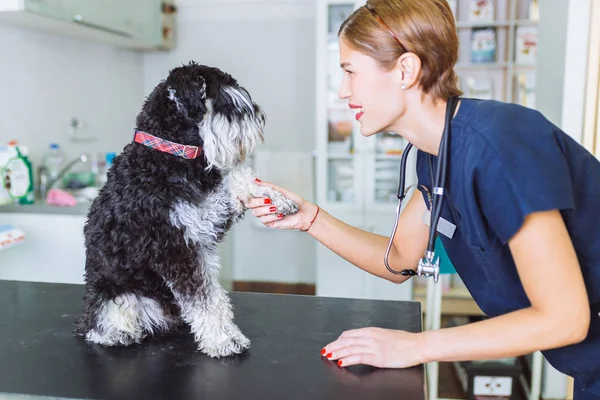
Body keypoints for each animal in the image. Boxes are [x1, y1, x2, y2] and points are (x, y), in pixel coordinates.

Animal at [75, 63, 298, 360]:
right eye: (226, 101)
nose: (261, 116)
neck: (169, 156)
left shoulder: (207, 218)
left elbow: (239, 178)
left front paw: (275, 197)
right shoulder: (174, 247)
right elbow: (204, 301)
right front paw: (224, 340)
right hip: (116, 293)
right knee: (99, 324)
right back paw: (117, 333)